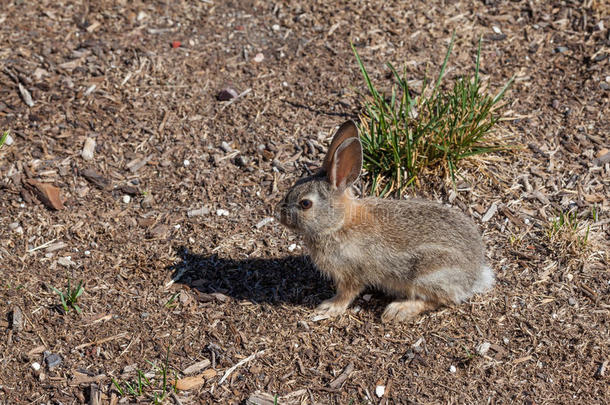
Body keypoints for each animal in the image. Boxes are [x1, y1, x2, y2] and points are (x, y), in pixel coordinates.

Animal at [274, 120, 492, 322]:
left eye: (305, 204)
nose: (279, 215)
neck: (338, 223)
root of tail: (474, 275)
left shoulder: (351, 274)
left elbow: (347, 294)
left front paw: (328, 307)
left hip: (427, 275)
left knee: (437, 300)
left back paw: (397, 310)